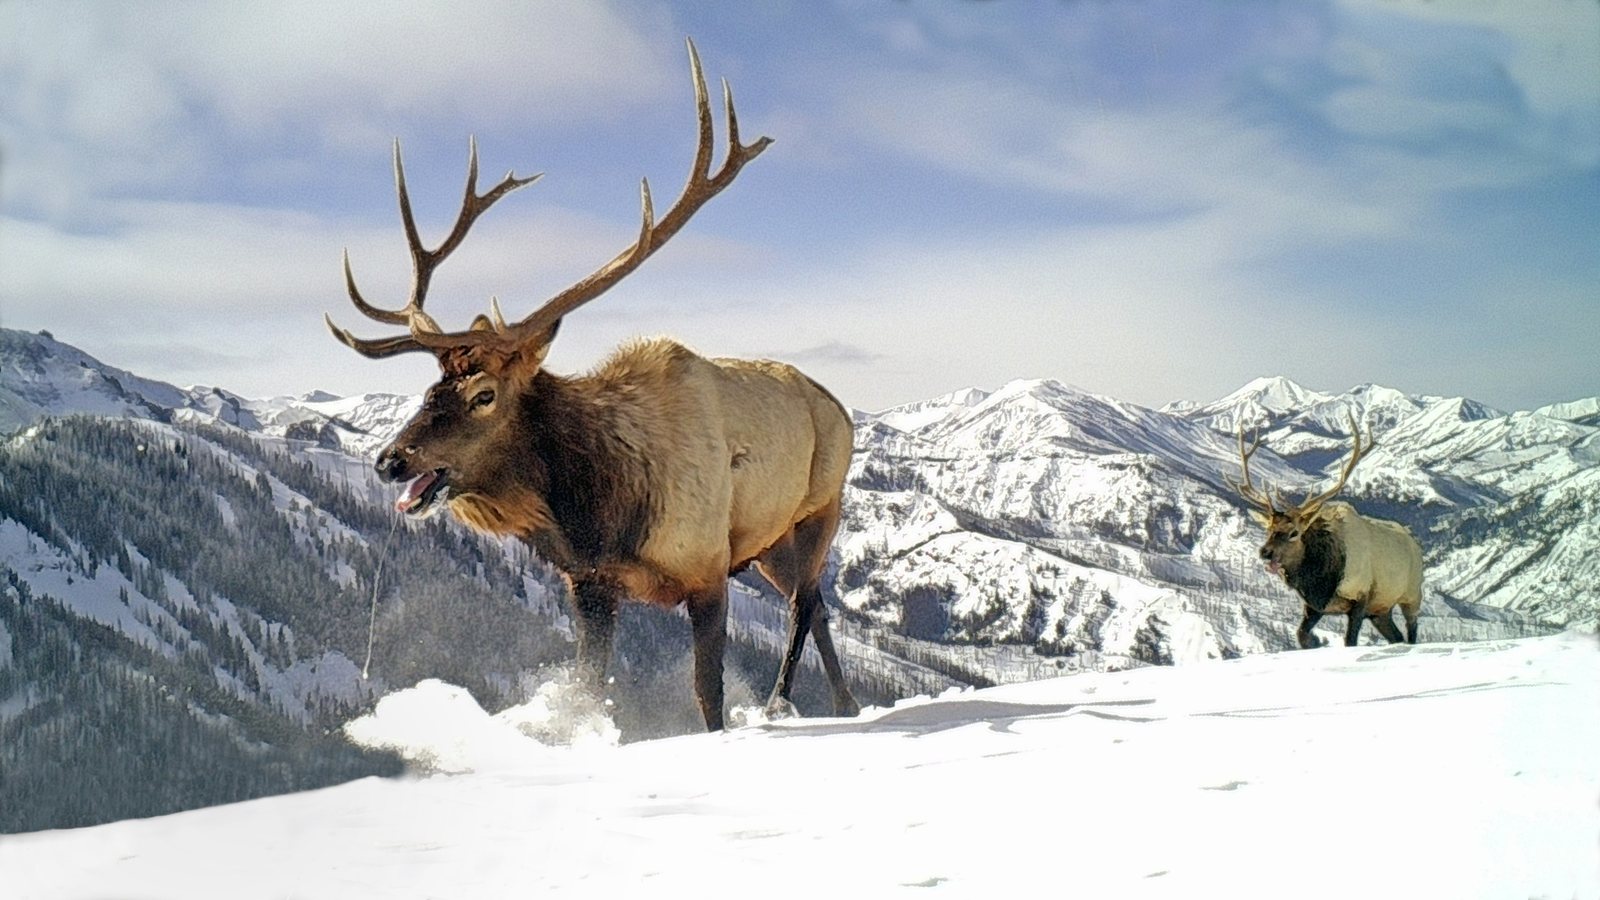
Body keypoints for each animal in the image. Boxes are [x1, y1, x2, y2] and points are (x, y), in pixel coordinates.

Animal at [325, 40, 859, 731]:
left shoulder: (707, 570)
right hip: (769, 542)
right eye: (427, 391)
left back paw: (781, 701)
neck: (599, 510)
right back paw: (844, 701)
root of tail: (841, 407)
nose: (390, 460)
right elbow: (588, 687)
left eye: (483, 395)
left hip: (820, 508)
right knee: (814, 601)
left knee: (804, 602)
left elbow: (706, 694)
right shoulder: (590, 584)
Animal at [1230, 414, 1424, 650]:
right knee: (1397, 637)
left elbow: (1350, 641)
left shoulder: (1361, 596)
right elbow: (1301, 635)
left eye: (1294, 533)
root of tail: (1415, 543)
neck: (1322, 578)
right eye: (1268, 529)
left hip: (1411, 595)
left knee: (1412, 632)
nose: (1265, 552)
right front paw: (1315, 641)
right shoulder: (1314, 605)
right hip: (1381, 609)